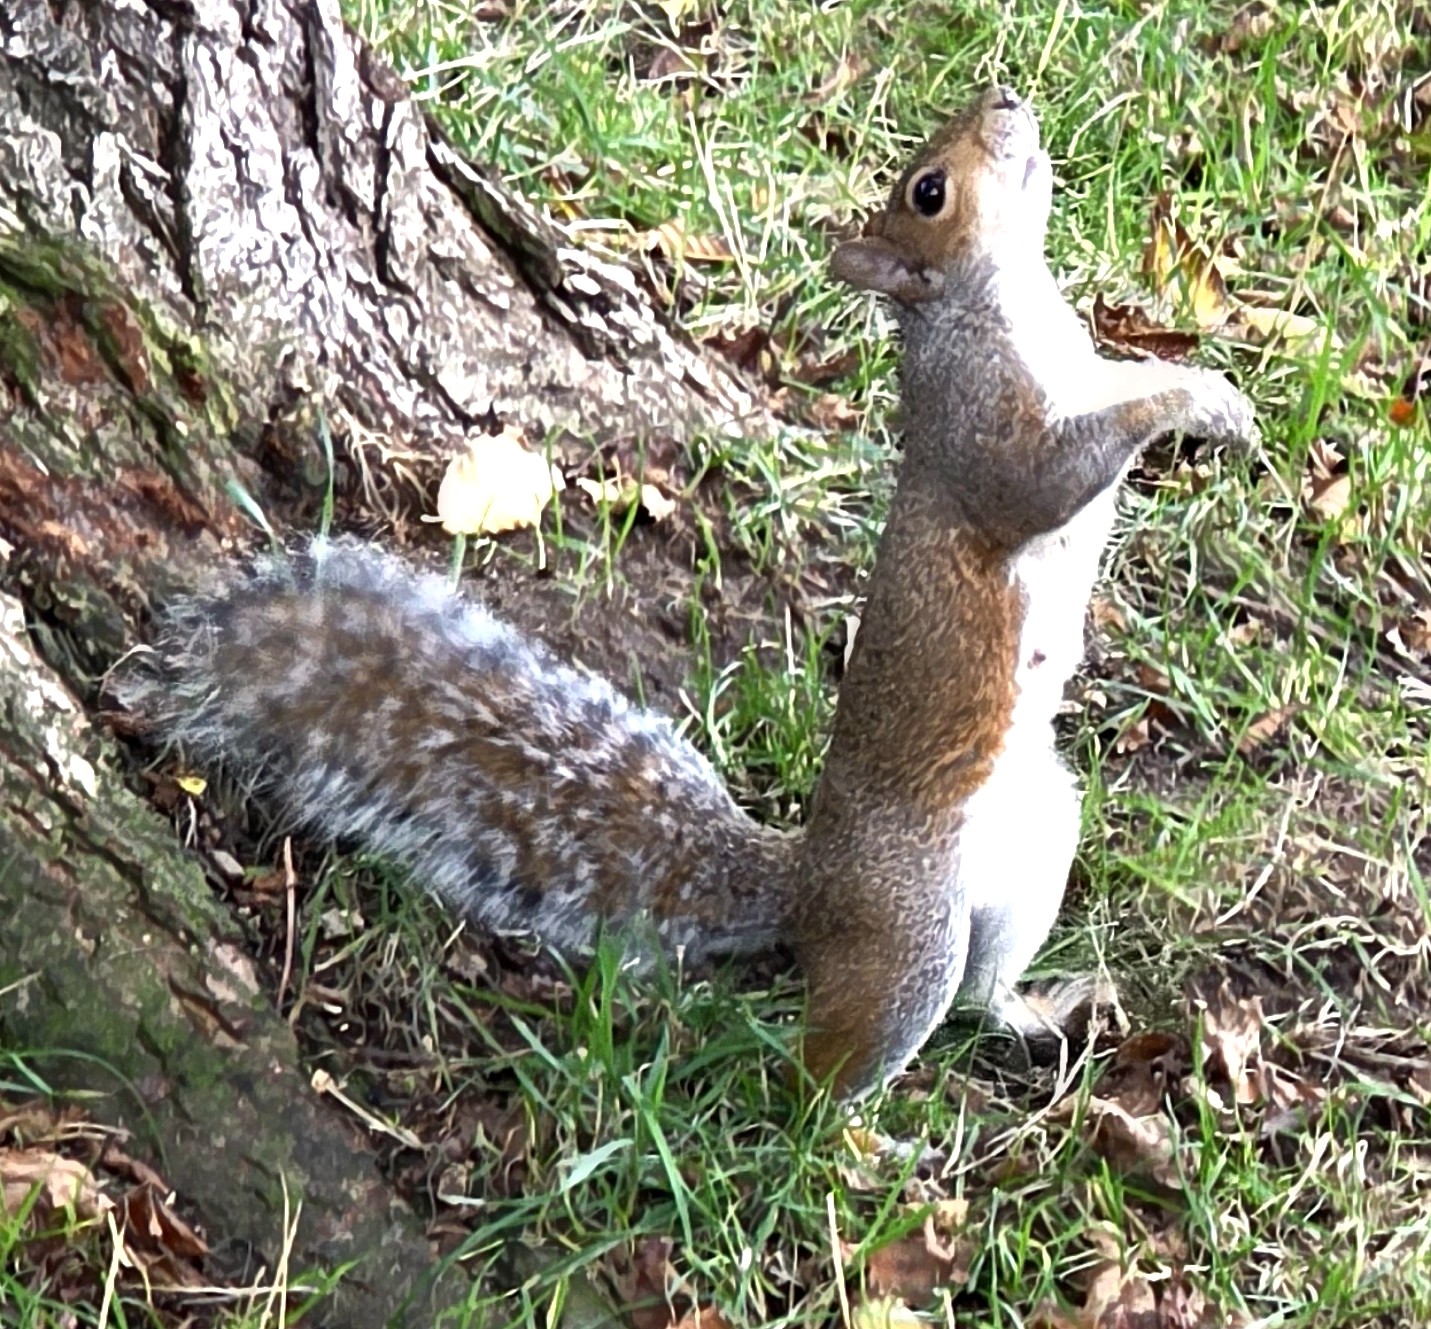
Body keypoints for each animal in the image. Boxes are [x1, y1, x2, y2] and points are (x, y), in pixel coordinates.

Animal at [128, 86, 1256, 1101]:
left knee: (980, 992)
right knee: (825, 1070)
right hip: (912, 927)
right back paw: (847, 1146)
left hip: (1036, 853)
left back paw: (1033, 1009)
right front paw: (1187, 399)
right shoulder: (978, 428)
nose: (1006, 101)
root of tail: (809, 887)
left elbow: (1113, 387)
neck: (1006, 302)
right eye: (928, 191)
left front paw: (1210, 395)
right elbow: (1043, 477)